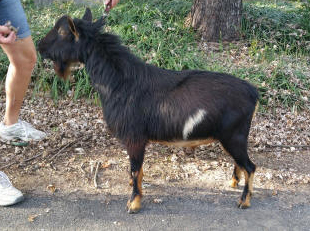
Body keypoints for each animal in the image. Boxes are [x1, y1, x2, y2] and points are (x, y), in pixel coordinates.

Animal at [38, 8, 260, 214]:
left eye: (62, 31)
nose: (39, 46)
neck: (119, 82)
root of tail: (253, 92)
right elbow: (137, 171)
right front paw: (134, 189)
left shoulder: (135, 137)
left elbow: (136, 170)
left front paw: (133, 203)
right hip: (230, 137)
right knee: (240, 163)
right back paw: (233, 182)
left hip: (233, 135)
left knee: (250, 166)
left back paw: (244, 201)